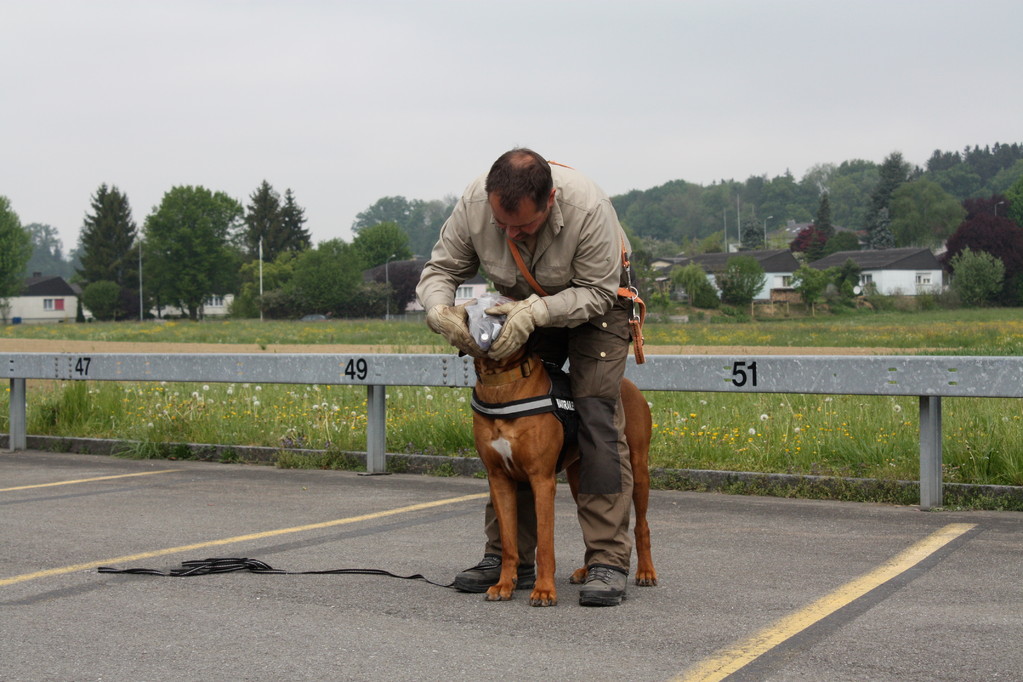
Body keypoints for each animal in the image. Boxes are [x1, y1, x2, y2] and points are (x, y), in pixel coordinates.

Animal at [468, 349, 654, 605]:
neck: (503, 384)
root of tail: (627, 383)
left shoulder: (542, 480)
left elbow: (545, 543)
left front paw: (544, 590)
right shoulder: (499, 480)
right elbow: (508, 542)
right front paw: (504, 584)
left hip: (638, 468)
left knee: (641, 525)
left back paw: (645, 572)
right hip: (578, 479)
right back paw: (586, 571)